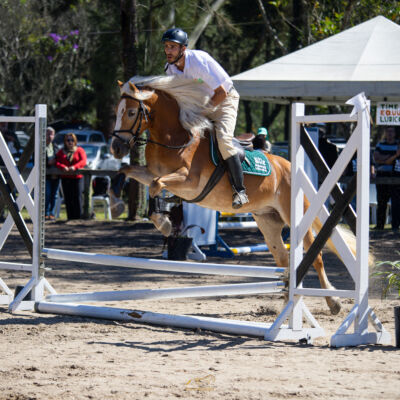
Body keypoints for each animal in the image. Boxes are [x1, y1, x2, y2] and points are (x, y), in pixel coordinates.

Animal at [108, 75, 354, 316]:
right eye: (116, 111)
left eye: (131, 112)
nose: (116, 149)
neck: (174, 138)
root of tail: (290, 166)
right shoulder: (150, 173)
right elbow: (127, 173)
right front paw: (118, 204)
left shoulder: (188, 180)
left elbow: (156, 185)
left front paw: (164, 222)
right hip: (268, 221)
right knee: (283, 260)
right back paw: (288, 303)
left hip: (294, 217)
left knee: (316, 257)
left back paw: (333, 302)